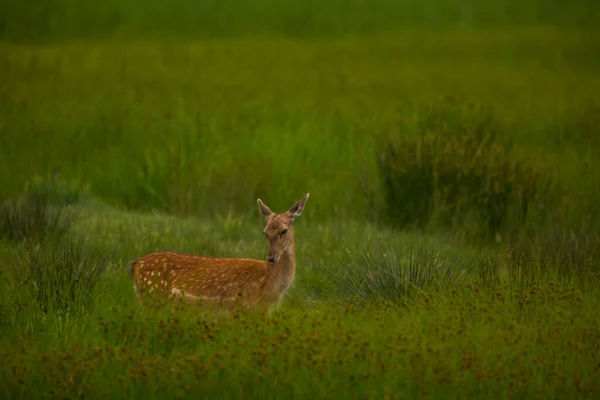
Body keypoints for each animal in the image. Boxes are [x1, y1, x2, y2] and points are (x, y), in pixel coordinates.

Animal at [129, 194, 312, 312]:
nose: (271, 257)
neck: (273, 289)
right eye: (265, 232)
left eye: (284, 231)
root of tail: (136, 264)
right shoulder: (245, 307)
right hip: (152, 296)